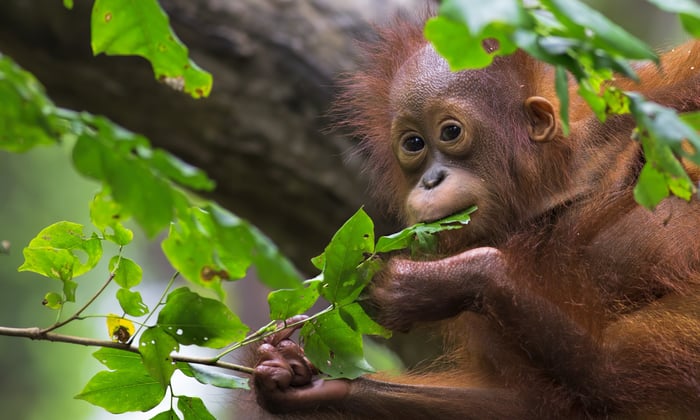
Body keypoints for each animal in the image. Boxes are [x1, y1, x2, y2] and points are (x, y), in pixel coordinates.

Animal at [251, 15, 700, 420]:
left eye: (450, 132)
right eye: (413, 144)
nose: (431, 180)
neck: (552, 192)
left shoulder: (655, 98)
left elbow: (620, 372)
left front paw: (430, 284)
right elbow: (537, 405)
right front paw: (304, 379)